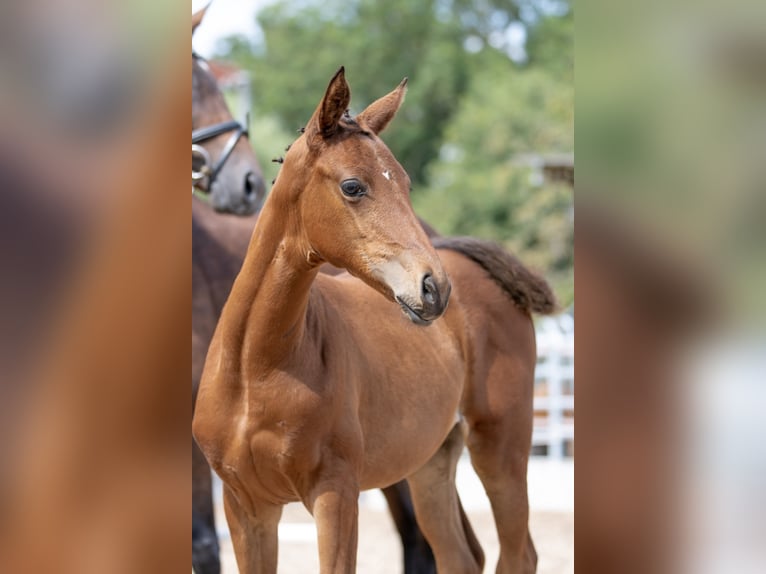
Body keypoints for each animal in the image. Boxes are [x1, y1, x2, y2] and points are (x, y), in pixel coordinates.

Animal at [194, 66, 560, 572]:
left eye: (406, 183)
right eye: (353, 186)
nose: (434, 288)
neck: (256, 367)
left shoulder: (335, 495)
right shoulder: (245, 506)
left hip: (501, 446)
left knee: (518, 553)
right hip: (431, 463)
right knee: (462, 555)